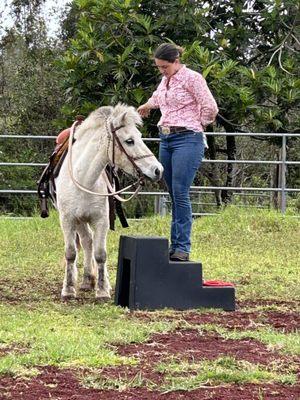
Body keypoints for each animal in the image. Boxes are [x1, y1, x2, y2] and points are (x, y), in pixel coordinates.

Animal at [55, 103, 163, 300]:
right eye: (129, 141)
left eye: (139, 137)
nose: (158, 170)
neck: (83, 179)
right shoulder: (67, 220)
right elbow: (70, 253)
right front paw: (68, 289)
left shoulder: (102, 220)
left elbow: (100, 254)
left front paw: (103, 290)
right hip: (79, 221)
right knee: (86, 241)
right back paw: (85, 281)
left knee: (90, 243)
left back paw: (91, 280)